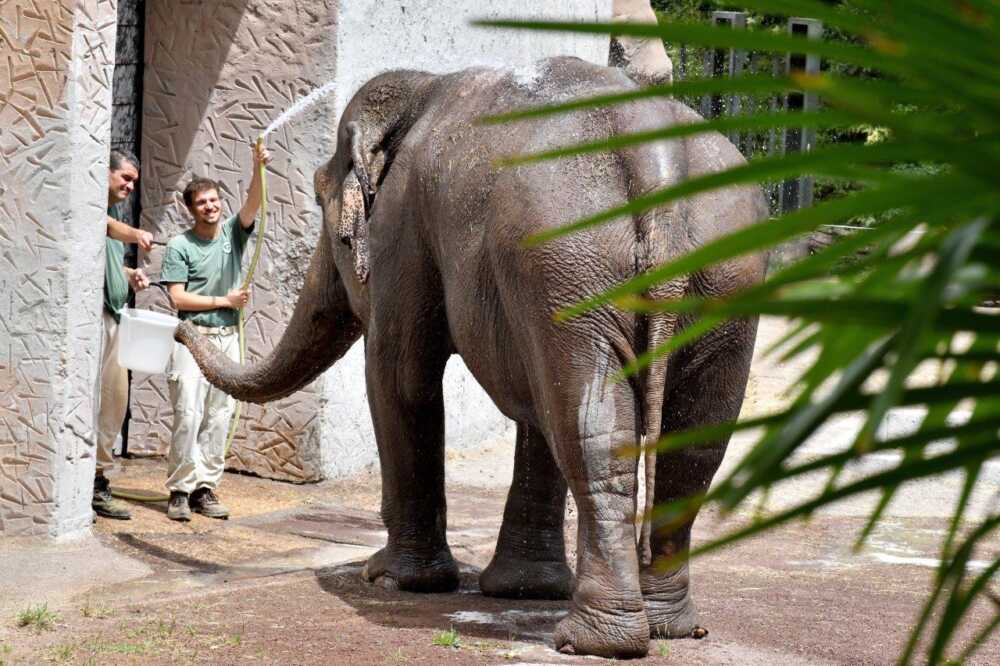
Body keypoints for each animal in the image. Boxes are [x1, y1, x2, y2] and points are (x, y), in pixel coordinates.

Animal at [176, 56, 767, 658]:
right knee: (689, 444)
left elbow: (400, 374)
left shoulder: (403, 226)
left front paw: (391, 579)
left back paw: (593, 641)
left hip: (580, 264)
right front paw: (523, 590)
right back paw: (670, 626)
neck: (424, 86)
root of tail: (658, 162)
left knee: (594, 431)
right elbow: (533, 408)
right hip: (719, 279)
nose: (178, 326)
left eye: (321, 200)